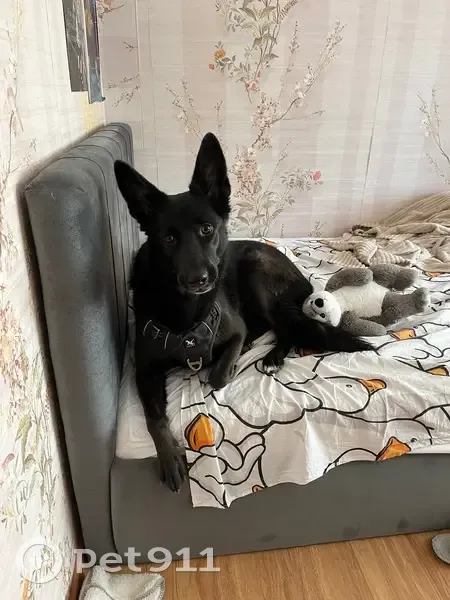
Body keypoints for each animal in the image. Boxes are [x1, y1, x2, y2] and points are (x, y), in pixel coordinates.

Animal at [114, 132, 373, 492]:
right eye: (168, 238)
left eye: (207, 229)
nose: (198, 279)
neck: (186, 310)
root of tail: (300, 276)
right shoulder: (145, 371)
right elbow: (154, 418)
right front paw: (169, 455)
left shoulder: (232, 330)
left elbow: (217, 374)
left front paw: (229, 365)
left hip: (256, 270)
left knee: (286, 329)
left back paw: (271, 356)